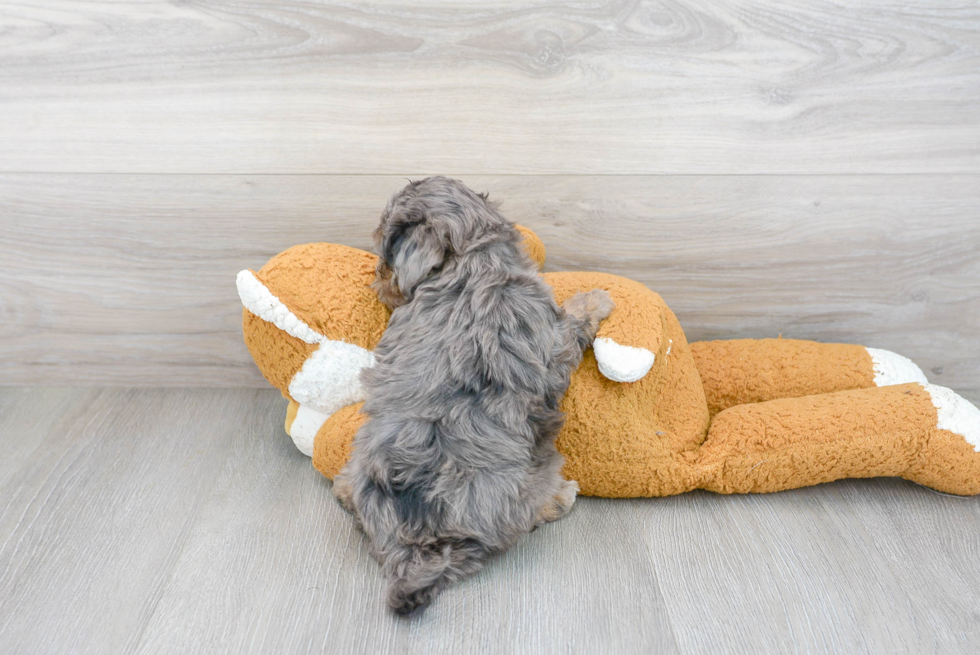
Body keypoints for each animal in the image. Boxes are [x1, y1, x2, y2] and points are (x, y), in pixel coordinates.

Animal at [336, 178, 612, 616]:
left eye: (385, 255)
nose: (376, 282)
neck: (471, 260)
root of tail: (414, 544)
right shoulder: (552, 337)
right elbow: (573, 321)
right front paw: (595, 299)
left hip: (363, 447)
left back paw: (344, 488)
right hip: (532, 474)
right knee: (530, 513)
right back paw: (560, 497)